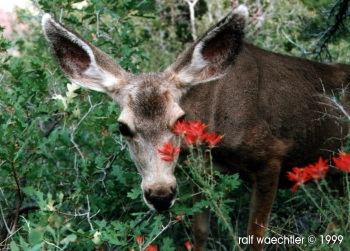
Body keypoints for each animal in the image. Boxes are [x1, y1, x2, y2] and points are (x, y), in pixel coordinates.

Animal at [41, 4, 350, 251]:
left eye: (179, 119)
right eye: (123, 128)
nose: (160, 195)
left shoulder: (272, 156)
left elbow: (255, 236)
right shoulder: (198, 171)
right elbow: (200, 231)